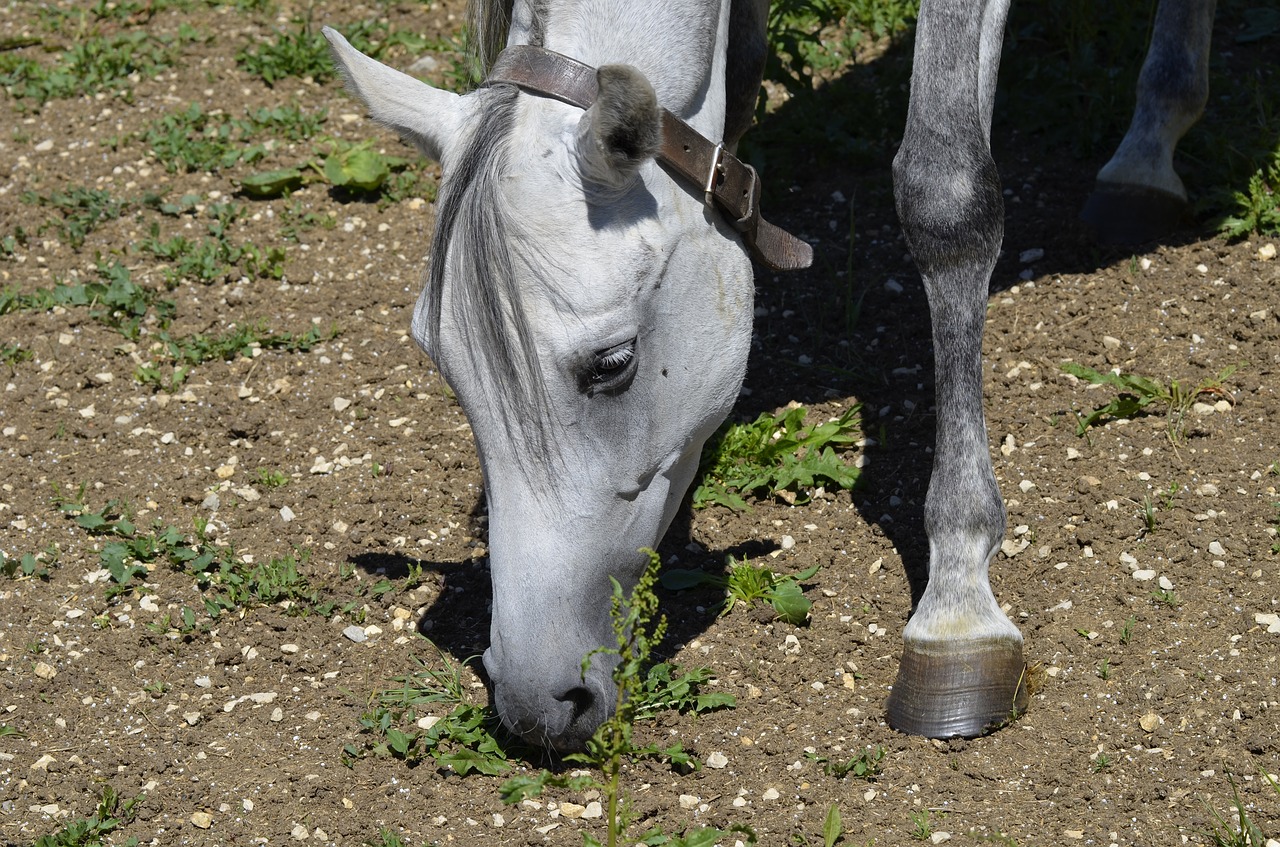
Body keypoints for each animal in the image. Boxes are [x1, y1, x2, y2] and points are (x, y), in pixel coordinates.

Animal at [325, 1, 1213, 757]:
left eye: (612, 364)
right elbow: (746, 74)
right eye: (443, 364)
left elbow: (946, 192)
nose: (534, 702)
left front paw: (957, 606)